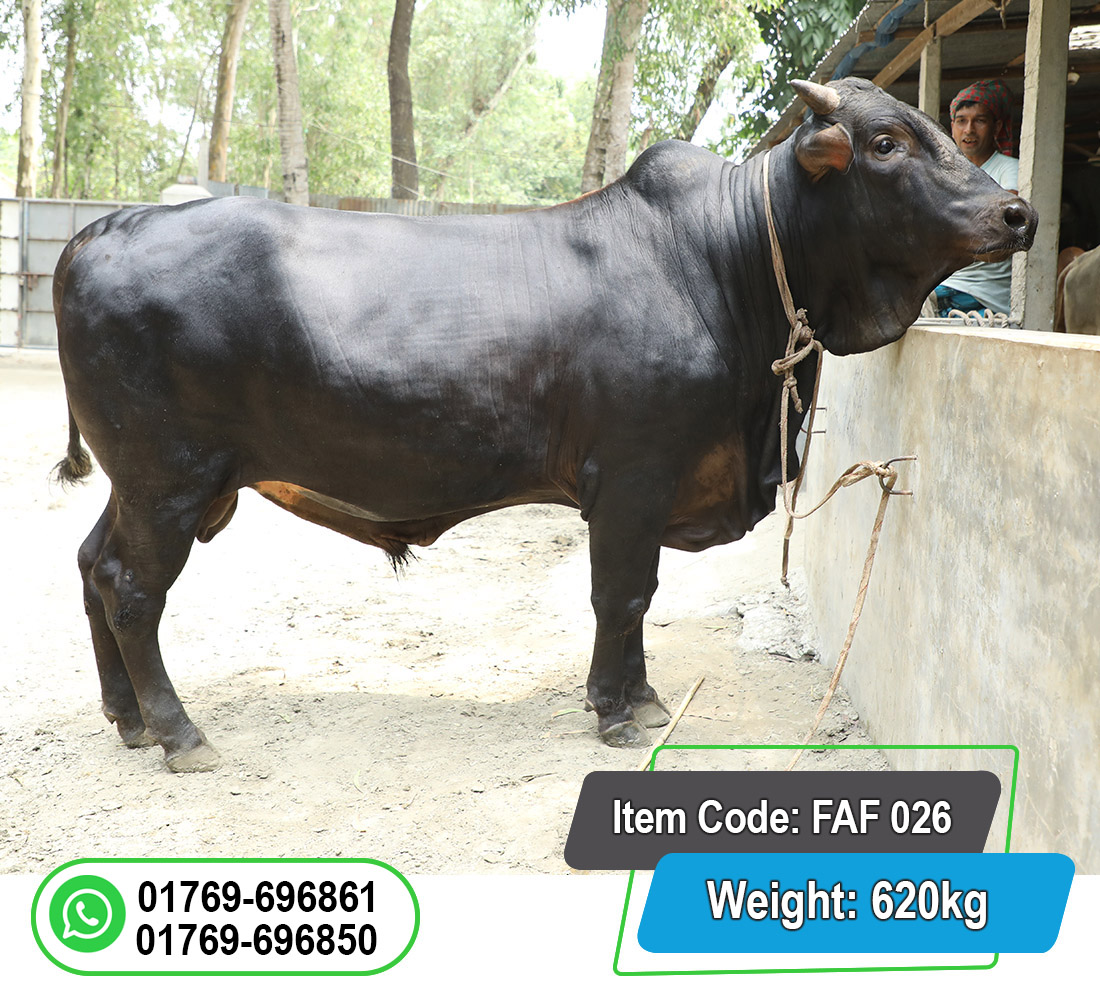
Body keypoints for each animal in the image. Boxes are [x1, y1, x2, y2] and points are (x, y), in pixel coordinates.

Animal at [53, 78, 1036, 772]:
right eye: (886, 141)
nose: (1018, 212)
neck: (723, 265)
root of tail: (105, 228)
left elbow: (638, 602)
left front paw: (642, 697)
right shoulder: (634, 479)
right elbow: (623, 595)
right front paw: (615, 711)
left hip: (146, 483)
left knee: (93, 567)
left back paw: (127, 720)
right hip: (171, 479)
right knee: (132, 589)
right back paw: (179, 734)